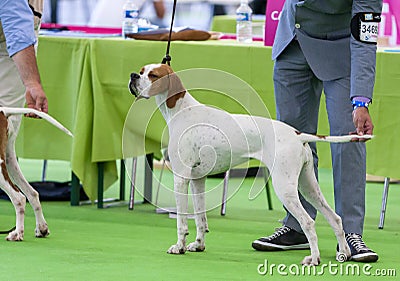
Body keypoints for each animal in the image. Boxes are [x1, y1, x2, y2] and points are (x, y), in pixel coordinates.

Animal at [0, 107, 72, 241]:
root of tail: (3, 111)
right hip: (9, 159)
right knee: (32, 194)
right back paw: (41, 228)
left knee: (19, 198)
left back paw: (17, 233)